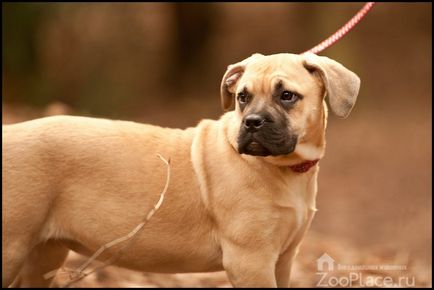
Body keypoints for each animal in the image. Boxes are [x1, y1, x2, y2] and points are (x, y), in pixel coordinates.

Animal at [1, 52, 360, 288]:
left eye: (287, 96)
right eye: (242, 97)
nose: (252, 123)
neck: (284, 168)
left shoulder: (283, 259)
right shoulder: (251, 260)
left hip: (43, 254)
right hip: (12, 247)